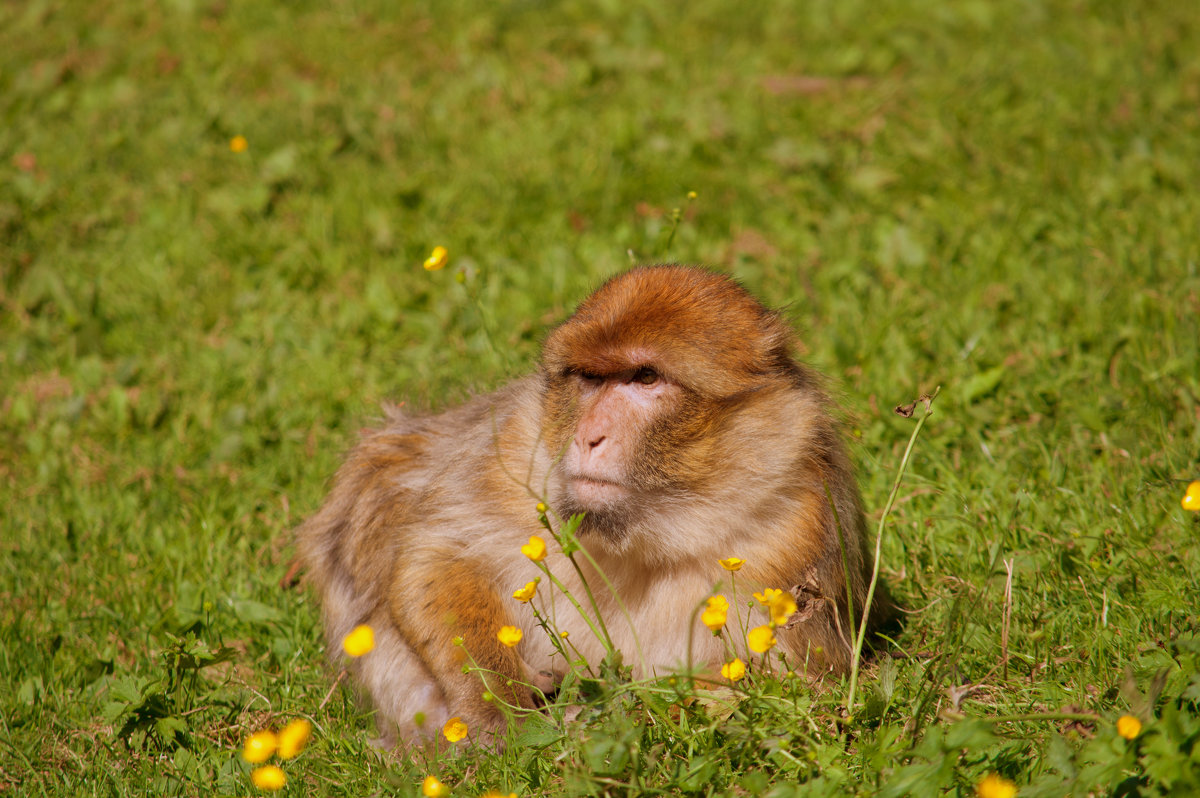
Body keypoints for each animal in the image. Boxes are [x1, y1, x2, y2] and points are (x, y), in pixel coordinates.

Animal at [295, 264, 888, 744]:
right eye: (589, 378)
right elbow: (437, 556)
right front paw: (498, 706)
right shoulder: (513, 450)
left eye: (645, 377)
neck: (648, 535)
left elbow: (794, 689)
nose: (589, 436)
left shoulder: (797, 533)